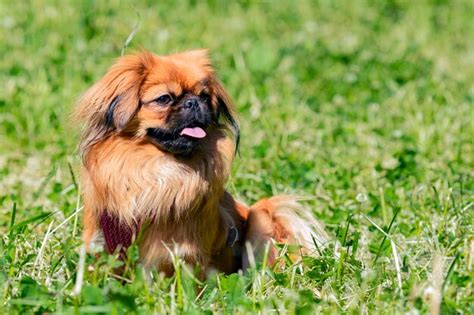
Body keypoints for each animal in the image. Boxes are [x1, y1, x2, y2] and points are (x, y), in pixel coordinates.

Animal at [75, 49, 330, 276]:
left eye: (204, 97)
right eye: (164, 99)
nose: (193, 103)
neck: (158, 169)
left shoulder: (187, 254)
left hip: (262, 217)